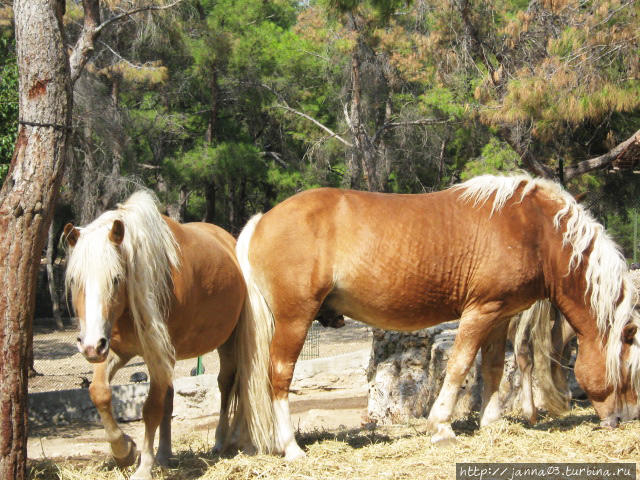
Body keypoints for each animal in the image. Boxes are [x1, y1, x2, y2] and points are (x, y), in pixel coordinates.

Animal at [63, 192, 255, 480]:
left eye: (116, 278)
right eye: (75, 280)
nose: (90, 346)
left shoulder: (156, 354)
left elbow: (152, 408)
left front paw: (144, 466)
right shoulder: (119, 350)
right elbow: (99, 392)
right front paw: (124, 450)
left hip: (229, 342)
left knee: (227, 383)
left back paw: (222, 441)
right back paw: (165, 454)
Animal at [230, 174, 640, 460]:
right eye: (628, 369)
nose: (626, 418)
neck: (534, 228)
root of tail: (262, 220)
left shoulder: (500, 314)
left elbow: (492, 367)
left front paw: (490, 422)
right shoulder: (480, 311)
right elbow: (459, 365)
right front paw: (441, 426)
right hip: (294, 320)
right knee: (278, 378)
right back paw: (291, 448)